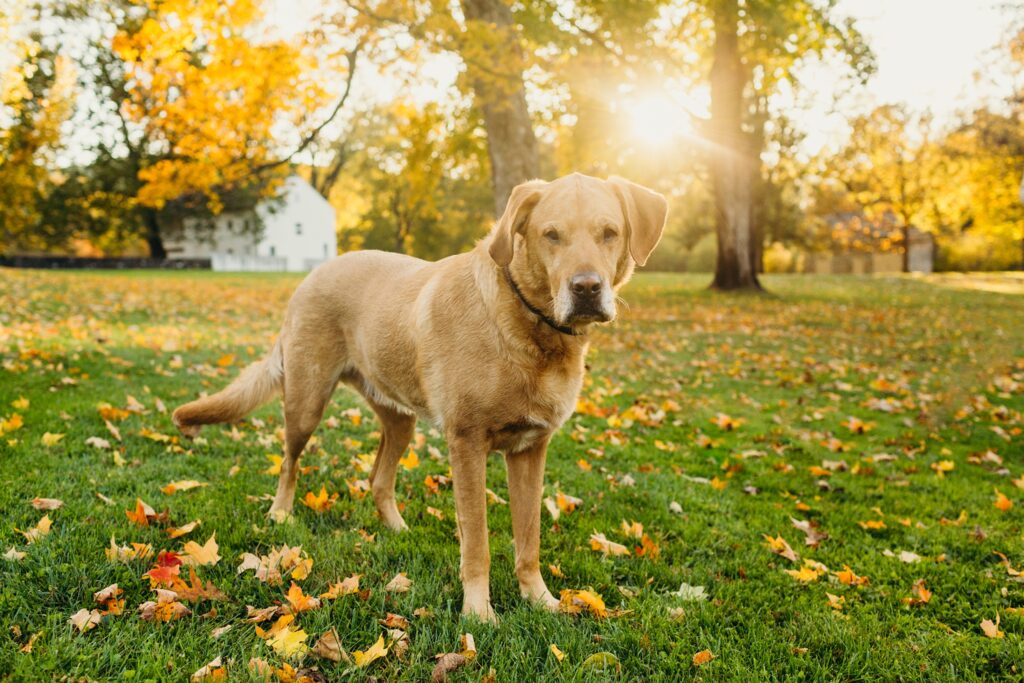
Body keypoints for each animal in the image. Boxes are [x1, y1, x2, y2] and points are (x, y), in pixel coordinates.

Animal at [172, 174, 667, 622]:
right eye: (552, 235)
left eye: (609, 233)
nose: (586, 288)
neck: (532, 329)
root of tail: (314, 273)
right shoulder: (467, 444)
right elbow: (478, 542)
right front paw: (478, 614)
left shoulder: (531, 449)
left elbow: (529, 539)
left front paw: (539, 600)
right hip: (306, 402)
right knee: (289, 462)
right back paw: (280, 513)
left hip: (400, 419)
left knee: (378, 478)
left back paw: (397, 528)